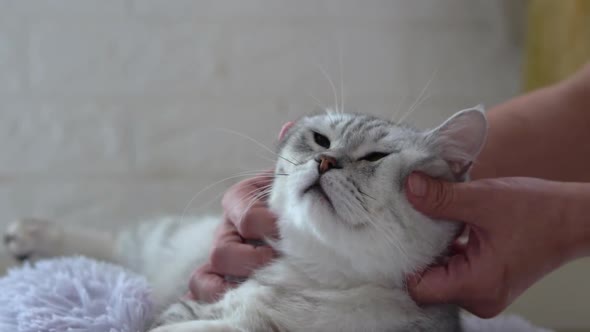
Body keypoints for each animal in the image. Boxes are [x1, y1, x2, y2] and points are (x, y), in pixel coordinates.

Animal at [2, 107, 488, 332]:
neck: (320, 282)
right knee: (120, 244)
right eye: (320, 140)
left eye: (375, 157)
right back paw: (26, 238)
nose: (326, 161)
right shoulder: (192, 311)